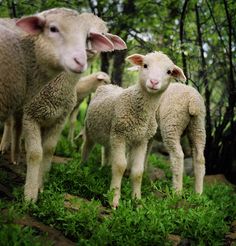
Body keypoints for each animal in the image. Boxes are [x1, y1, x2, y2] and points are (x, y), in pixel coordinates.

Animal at [0, 8, 121, 165]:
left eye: (103, 33)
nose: (88, 50)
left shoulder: (59, 116)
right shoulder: (31, 113)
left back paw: (16, 153)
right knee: (11, 122)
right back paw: (5, 146)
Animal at [81, 51, 186, 208]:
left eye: (169, 71)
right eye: (145, 65)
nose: (154, 82)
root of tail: (112, 85)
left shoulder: (141, 140)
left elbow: (138, 171)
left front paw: (137, 201)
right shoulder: (120, 134)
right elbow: (119, 166)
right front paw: (114, 200)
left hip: (110, 133)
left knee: (106, 149)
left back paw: (104, 168)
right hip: (91, 128)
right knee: (86, 146)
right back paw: (82, 167)